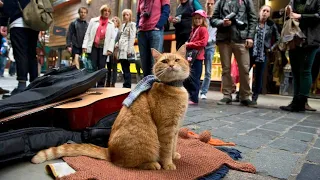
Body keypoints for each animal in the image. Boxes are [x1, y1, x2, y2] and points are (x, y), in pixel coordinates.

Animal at [31, 44, 190, 170]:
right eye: (164, 61)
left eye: (177, 60)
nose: (171, 65)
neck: (174, 87)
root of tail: (109, 151)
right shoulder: (167, 129)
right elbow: (166, 149)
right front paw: (168, 164)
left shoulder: (176, 129)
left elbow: (174, 145)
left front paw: (174, 156)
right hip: (147, 144)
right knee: (128, 163)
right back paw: (152, 164)